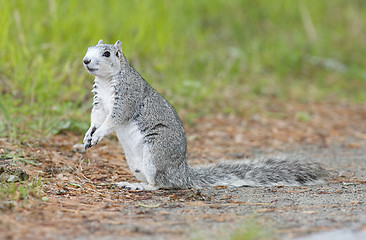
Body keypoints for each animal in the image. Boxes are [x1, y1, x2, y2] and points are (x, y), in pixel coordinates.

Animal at [81, 39, 328, 191]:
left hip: (155, 153)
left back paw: (141, 186)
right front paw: (89, 134)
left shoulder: (128, 97)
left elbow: (116, 118)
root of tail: (182, 173)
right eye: (88, 49)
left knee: (161, 184)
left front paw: (100, 133)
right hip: (136, 163)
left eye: (106, 53)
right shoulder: (99, 103)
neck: (106, 82)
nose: (85, 61)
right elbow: (96, 117)